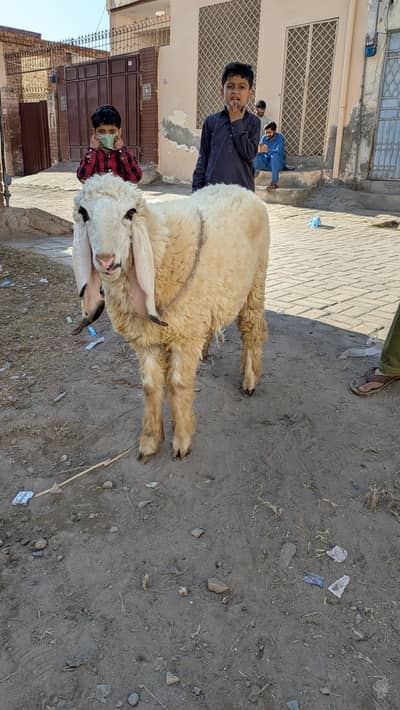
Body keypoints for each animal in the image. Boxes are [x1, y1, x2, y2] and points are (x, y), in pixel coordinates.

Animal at [72, 174, 270, 460]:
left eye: (130, 213)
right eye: (84, 213)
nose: (106, 261)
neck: (161, 250)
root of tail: (237, 188)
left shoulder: (184, 335)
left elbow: (178, 384)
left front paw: (182, 439)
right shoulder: (147, 339)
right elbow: (150, 386)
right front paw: (150, 440)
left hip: (255, 282)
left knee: (251, 329)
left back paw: (250, 378)